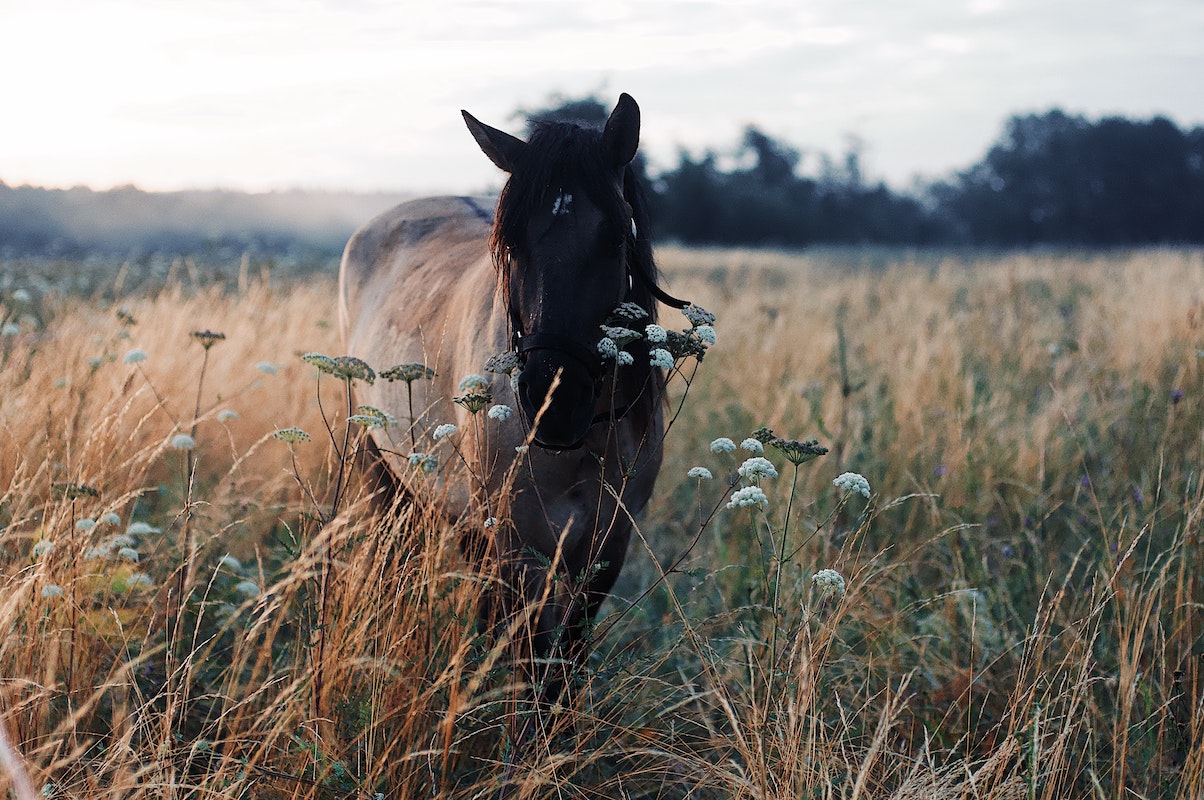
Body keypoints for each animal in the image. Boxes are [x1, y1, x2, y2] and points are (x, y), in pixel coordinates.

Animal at [339, 95, 688, 713]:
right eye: (510, 243)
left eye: (616, 238)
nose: (555, 400)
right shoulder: (519, 545)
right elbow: (532, 666)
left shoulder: (605, 548)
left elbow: (566, 665)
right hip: (383, 474)